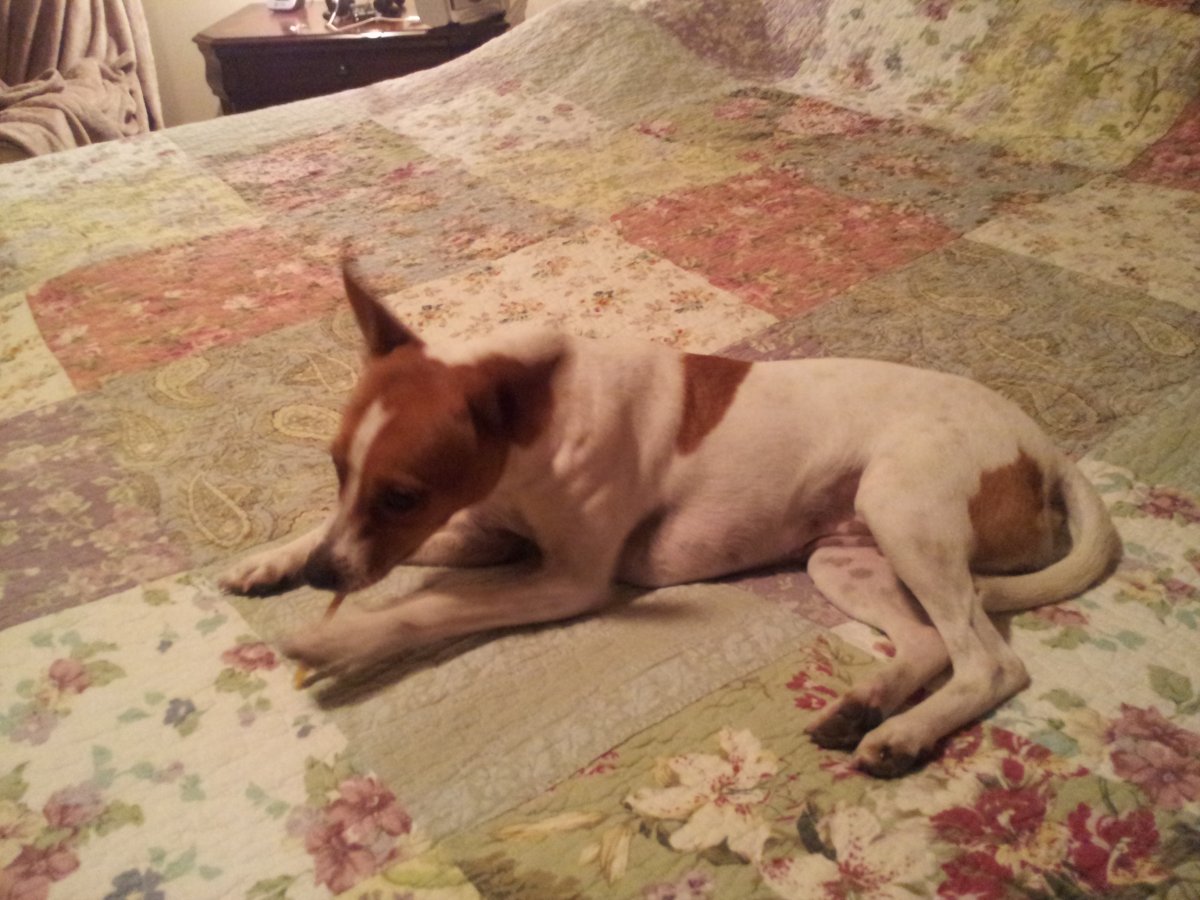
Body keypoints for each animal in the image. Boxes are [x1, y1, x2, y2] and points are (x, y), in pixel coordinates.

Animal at [221, 264, 1121, 777]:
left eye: (404, 494)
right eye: (337, 468)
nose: (324, 580)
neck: (539, 429)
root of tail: (1042, 442)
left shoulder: (564, 580)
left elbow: (427, 608)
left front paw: (336, 637)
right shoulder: (487, 533)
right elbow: (344, 538)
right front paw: (273, 561)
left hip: (905, 515)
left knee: (989, 663)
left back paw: (904, 735)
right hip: (846, 556)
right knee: (931, 643)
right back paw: (869, 705)